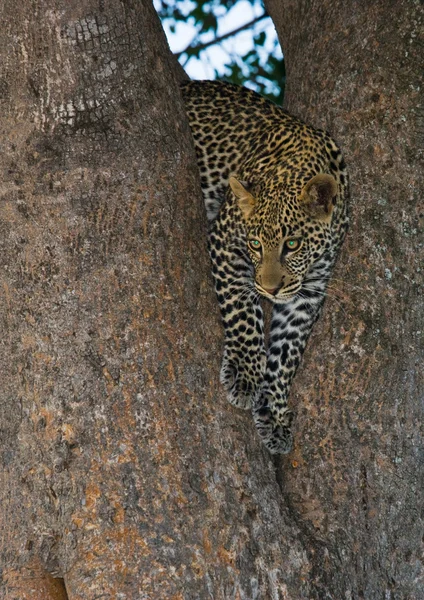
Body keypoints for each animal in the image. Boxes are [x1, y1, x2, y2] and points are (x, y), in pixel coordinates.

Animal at [181, 81, 350, 454]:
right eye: (256, 244)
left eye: (293, 244)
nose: (271, 289)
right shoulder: (225, 242)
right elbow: (243, 311)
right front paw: (246, 374)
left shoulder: (310, 289)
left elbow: (287, 351)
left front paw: (272, 411)